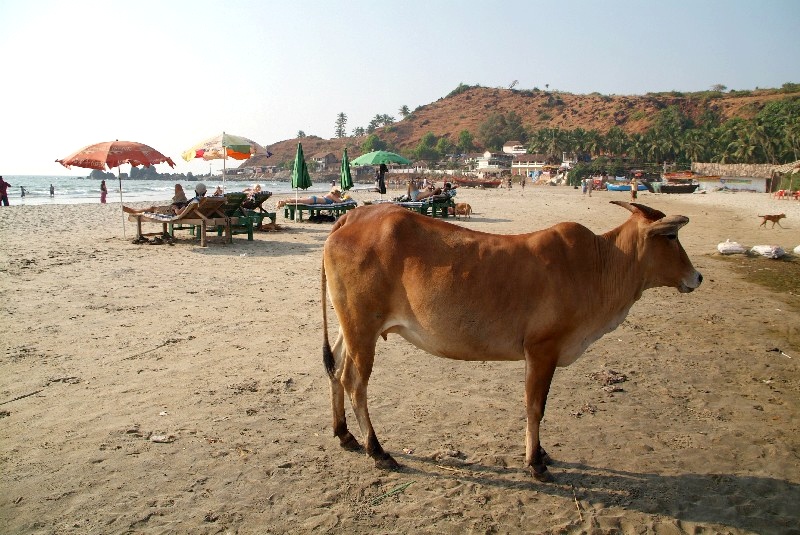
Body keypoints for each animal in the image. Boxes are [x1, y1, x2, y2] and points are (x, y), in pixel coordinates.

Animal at [322, 200, 704, 482]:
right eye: (671, 236)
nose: (697, 277)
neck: (600, 264)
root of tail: (351, 216)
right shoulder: (542, 350)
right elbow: (535, 407)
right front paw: (536, 462)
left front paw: (541, 454)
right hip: (363, 329)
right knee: (355, 383)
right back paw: (378, 451)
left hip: (350, 327)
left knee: (336, 369)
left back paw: (344, 434)